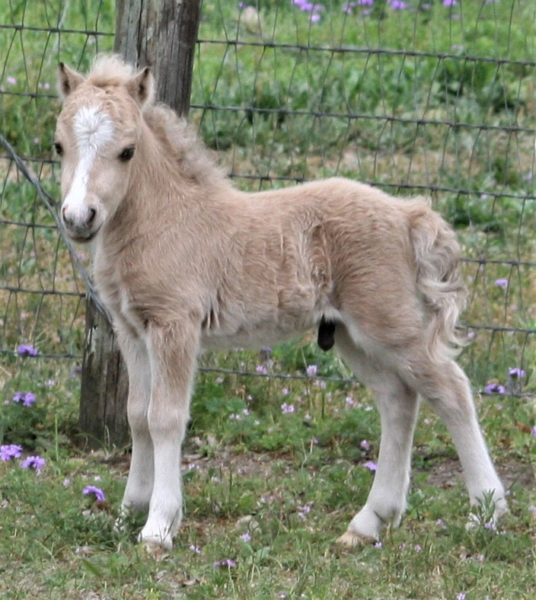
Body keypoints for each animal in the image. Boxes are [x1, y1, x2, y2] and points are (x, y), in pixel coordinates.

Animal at [55, 58, 506, 552]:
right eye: (58, 146)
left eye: (127, 151)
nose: (78, 218)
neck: (164, 221)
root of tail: (409, 215)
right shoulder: (131, 329)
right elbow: (137, 415)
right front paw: (127, 513)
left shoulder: (176, 325)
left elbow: (165, 418)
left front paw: (158, 527)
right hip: (350, 335)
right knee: (398, 399)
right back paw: (367, 523)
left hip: (390, 323)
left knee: (451, 389)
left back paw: (486, 513)